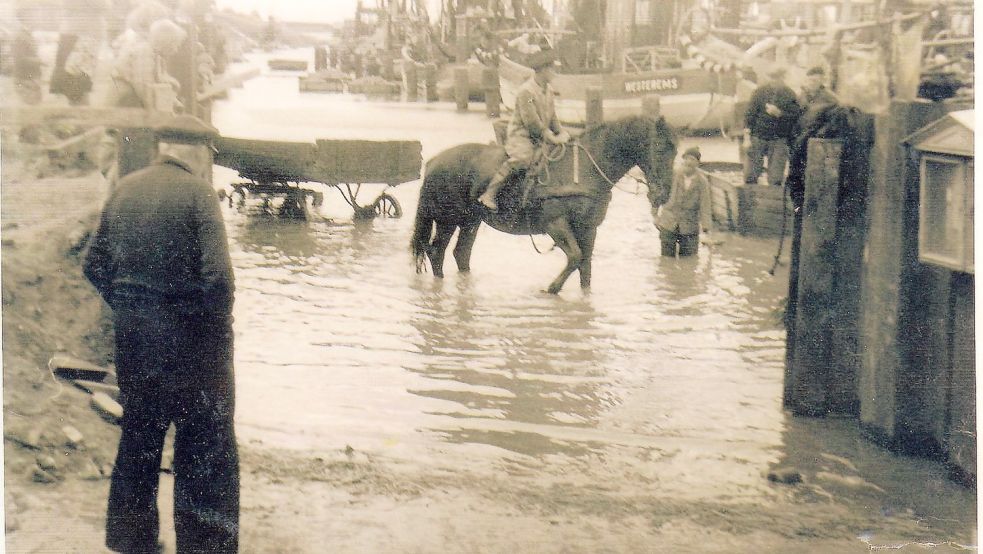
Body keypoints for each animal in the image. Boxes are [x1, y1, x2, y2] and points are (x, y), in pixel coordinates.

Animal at [410, 114, 676, 292]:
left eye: (676, 152)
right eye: (660, 149)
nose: (664, 194)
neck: (585, 168)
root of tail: (433, 161)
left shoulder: (588, 228)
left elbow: (585, 267)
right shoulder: (555, 225)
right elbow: (575, 258)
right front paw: (552, 289)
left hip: (470, 222)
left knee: (461, 253)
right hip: (447, 221)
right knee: (437, 252)